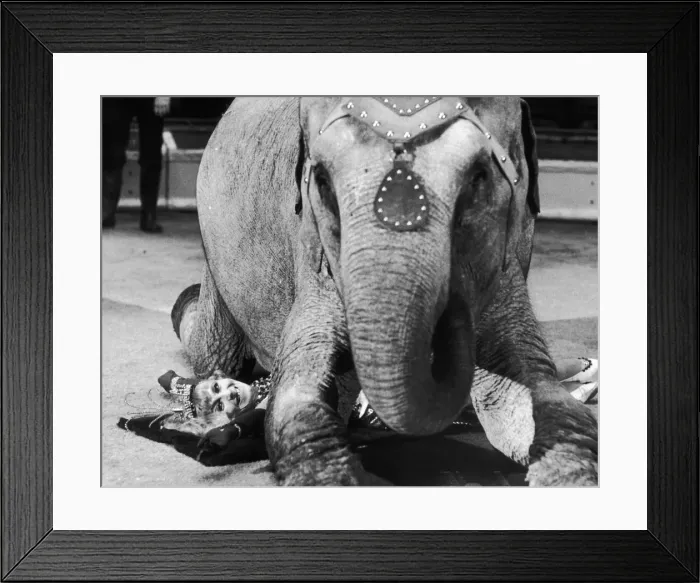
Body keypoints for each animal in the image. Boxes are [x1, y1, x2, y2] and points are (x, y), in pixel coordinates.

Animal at [170, 96, 598, 486]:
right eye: (322, 182)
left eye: (479, 178)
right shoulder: (313, 257)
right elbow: (296, 397)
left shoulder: (511, 254)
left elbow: (523, 391)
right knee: (212, 348)